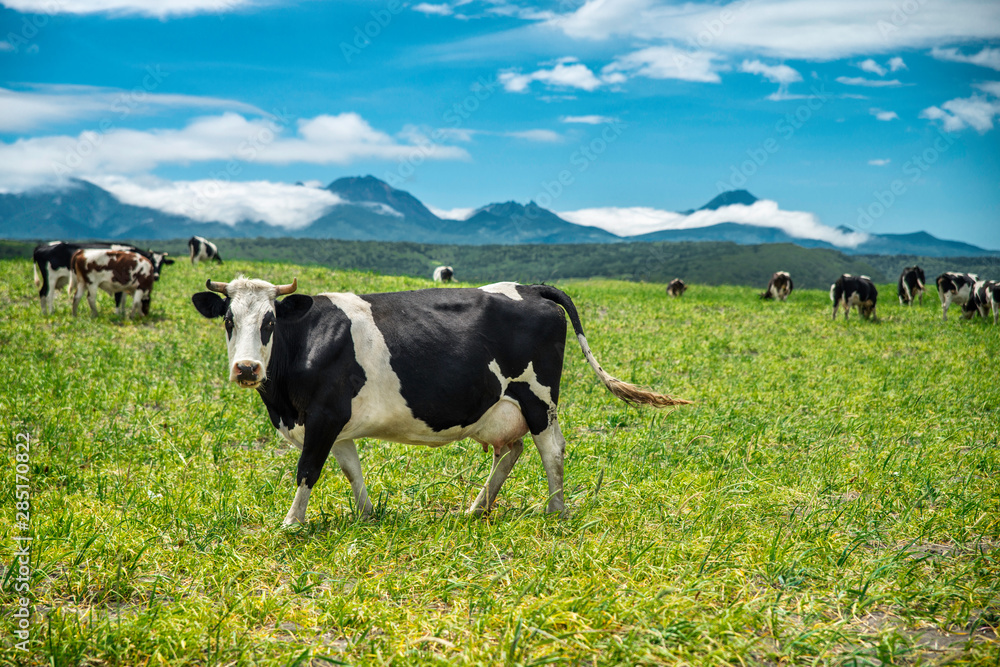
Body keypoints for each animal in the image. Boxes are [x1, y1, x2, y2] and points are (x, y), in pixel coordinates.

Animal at [33, 243, 174, 316]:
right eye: (153, 260)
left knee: (44, 293)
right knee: (49, 294)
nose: (156, 276)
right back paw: (52, 312)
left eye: (162, 263)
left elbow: (123, 300)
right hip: (53, 279)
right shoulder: (120, 284)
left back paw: (47, 313)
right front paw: (119, 314)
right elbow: (119, 299)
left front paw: (123, 313)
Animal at [191, 278, 692, 528]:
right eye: (229, 319)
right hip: (500, 406)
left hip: (538, 396)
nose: (247, 368)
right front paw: (367, 515)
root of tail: (531, 288)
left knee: (552, 450)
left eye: (271, 320)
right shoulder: (335, 424)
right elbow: (351, 469)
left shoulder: (324, 417)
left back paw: (556, 511)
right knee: (511, 451)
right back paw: (477, 508)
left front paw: (291, 523)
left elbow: (308, 470)